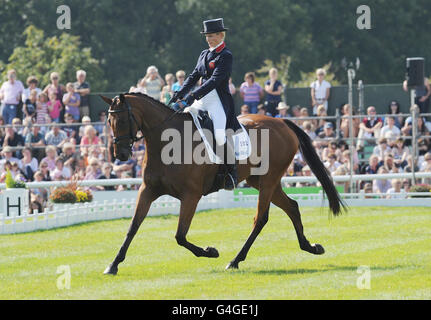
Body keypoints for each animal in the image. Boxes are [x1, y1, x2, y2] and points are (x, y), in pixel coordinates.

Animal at [99, 93, 346, 276]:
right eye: (109, 122)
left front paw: (210, 251)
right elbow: (133, 227)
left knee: (260, 218)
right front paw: (113, 264)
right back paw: (310, 247)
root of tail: (281, 122)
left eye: (123, 121)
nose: (120, 155)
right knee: (292, 206)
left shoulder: (191, 195)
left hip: (269, 179)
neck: (167, 142)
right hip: (260, 180)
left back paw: (235, 260)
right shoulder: (147, 190)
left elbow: (180, 235)